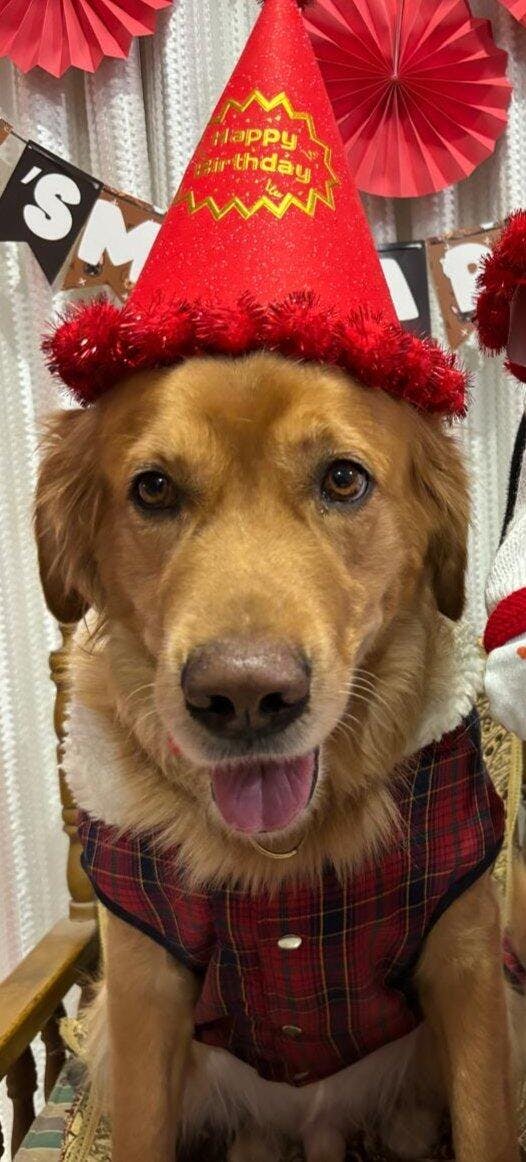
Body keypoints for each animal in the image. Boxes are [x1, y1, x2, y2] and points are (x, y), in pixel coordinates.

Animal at [35, 351, 522, 1162]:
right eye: (154, 489)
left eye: (343, 479)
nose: (243, 698)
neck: (283, 855)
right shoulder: (141, 990)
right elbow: (139, 1128)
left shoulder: (469, 963)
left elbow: (487, 1125)